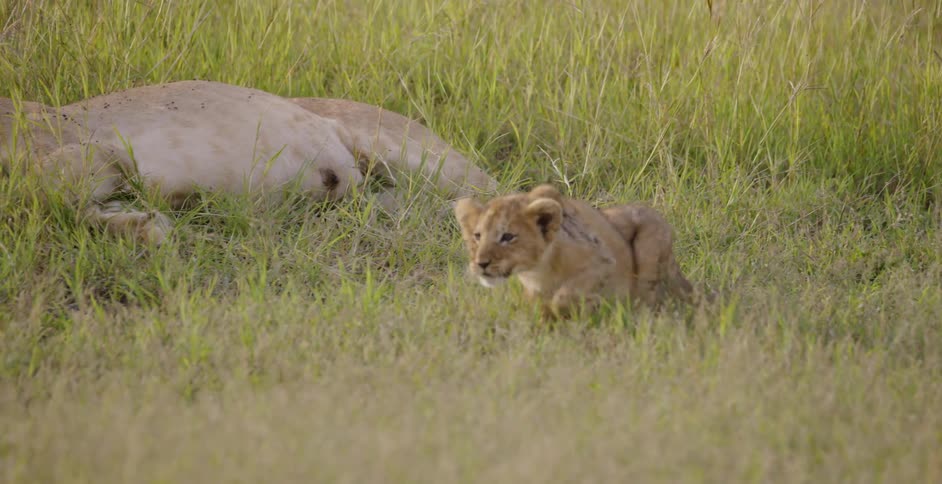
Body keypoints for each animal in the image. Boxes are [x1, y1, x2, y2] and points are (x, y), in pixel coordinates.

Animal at [1, 80, 495, 244]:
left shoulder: (98, 150)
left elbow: (44, 196)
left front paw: (152, 227)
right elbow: (55, 204)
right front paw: (149, 224)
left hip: (404, 149)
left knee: (490, 193)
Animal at [453, 184, 700, 319]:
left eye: (507, 237)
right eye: (477, 236)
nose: (481, 263)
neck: (538, 271)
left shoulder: (603, 263)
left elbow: (565, 295)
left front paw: (587, 305)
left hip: (649, 252)